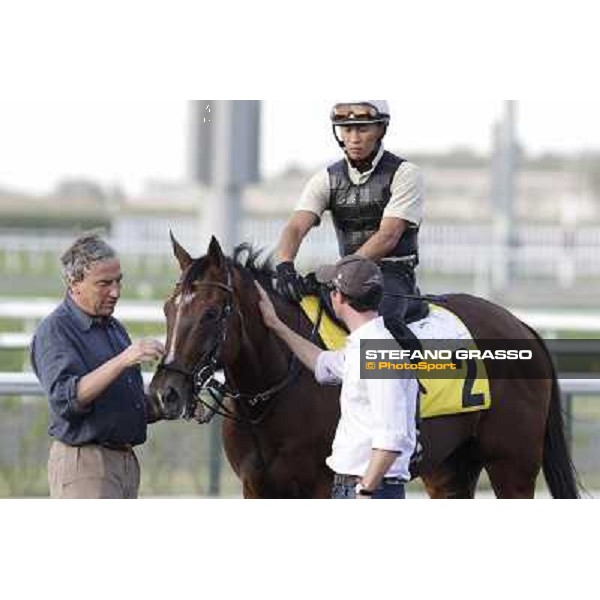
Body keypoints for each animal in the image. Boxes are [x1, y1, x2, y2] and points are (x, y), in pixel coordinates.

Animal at [149, 237, 580, 500]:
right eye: (169, 310)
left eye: (210, 313)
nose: (164, 393)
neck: (273, 397)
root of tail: (521, 325)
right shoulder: (256, 488)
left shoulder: (323, 484)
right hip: (451, 469)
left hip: (513, 466)